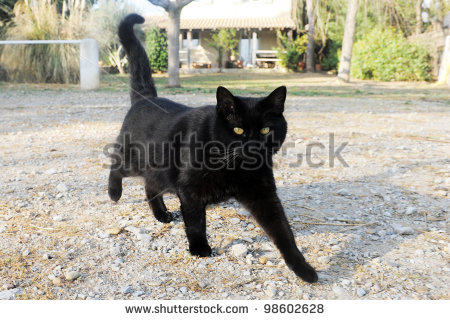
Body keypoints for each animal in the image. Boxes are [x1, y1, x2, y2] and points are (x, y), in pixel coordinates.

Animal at [109, 13, 318, 282]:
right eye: (238, 130)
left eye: (265, 130)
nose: (254, 146)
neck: (233, 166)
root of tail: (147, 97)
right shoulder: (190, 190)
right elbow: (197, 222)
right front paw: (200, 249)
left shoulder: (263, 194)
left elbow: (283, 231)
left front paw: (303, 268)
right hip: (133, 160)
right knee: (116, 166)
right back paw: (114, 193)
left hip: (158, 171)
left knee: (150, 186)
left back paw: (161, 215)